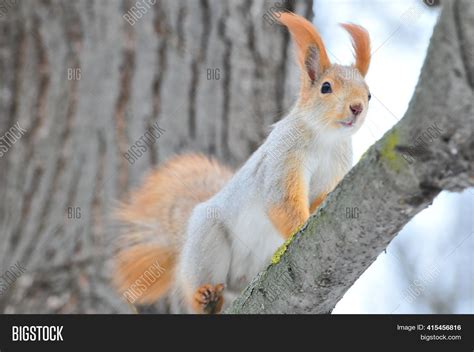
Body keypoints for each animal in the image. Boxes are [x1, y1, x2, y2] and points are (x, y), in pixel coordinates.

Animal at [114, 12, 370, 314]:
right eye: (325, 87)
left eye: (369, 94)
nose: (357, 108)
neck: (326, 139)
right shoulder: (284, 156)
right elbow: (281, 201)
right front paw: (300, 225)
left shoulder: (336, 170)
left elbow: (320, 197)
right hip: (207, 242)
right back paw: (205, 299)